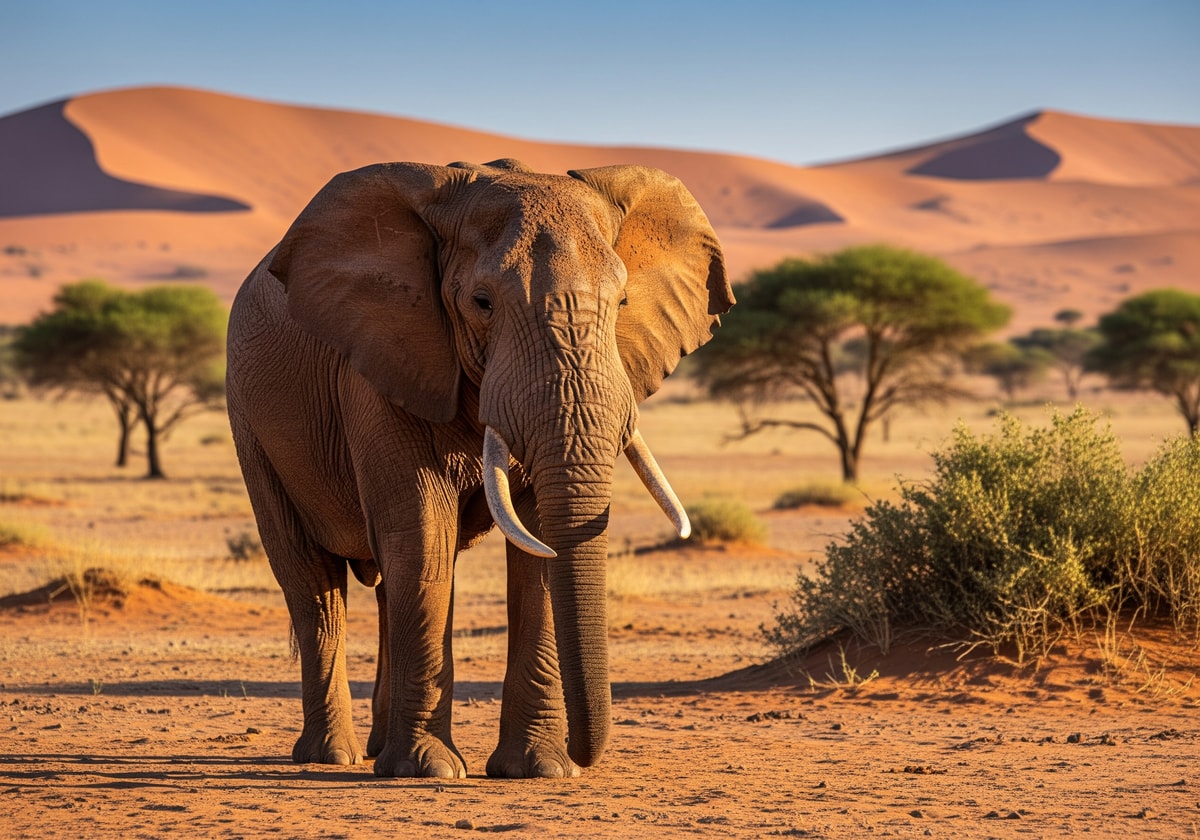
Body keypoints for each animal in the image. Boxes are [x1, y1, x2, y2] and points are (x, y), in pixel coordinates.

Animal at [225, 158, 734, 778]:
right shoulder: (383, 360)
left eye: (621, 305)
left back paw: (376, 749)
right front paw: (429, 771)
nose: (584, 755)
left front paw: (539, 769)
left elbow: (537, 551)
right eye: (482, 302)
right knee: (314, 584)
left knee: (384, 584)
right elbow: (423, 534)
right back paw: (333, 756)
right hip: (250, 422)